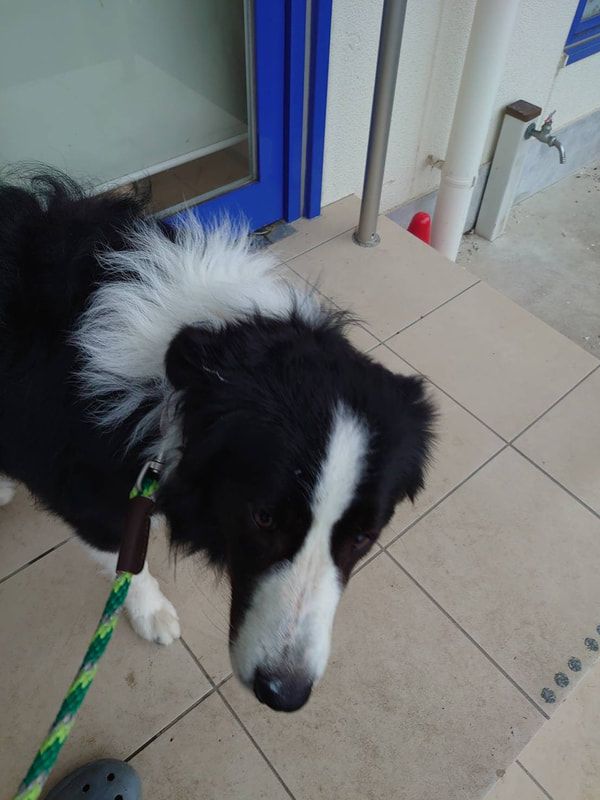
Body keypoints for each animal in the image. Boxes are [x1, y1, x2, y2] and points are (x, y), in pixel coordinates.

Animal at [0, 173, 434, 712]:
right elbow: (125, 555)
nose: (284, 693)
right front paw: (153, 614)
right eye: (262, 517)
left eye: (363, 537)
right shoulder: (82, 489)